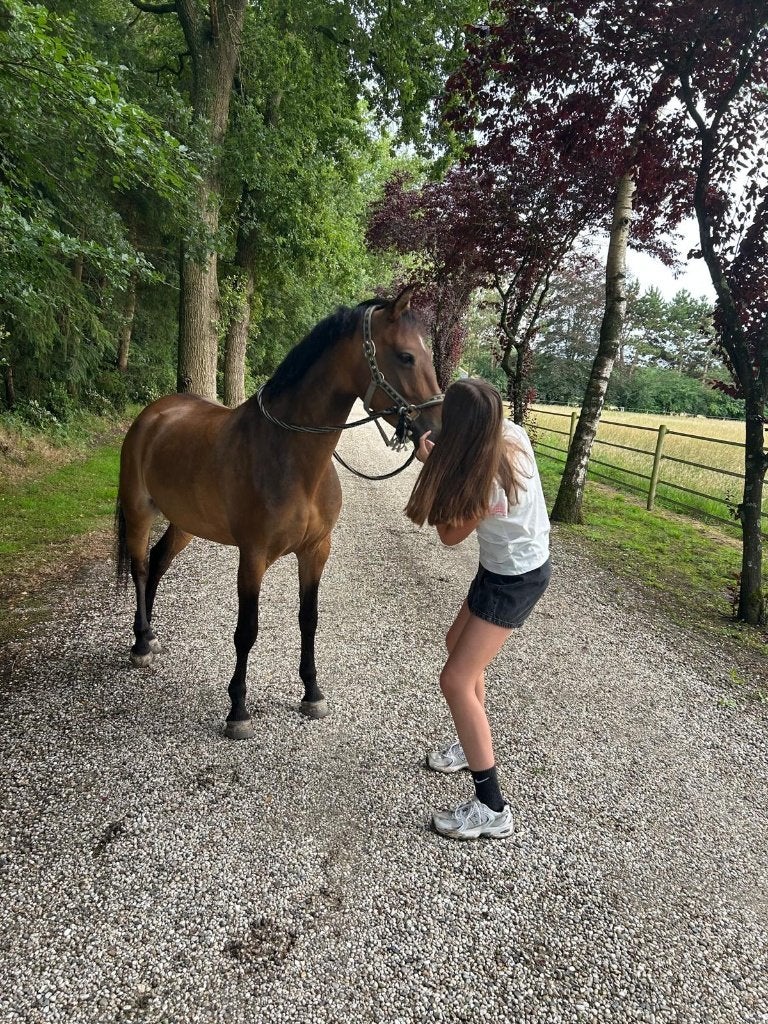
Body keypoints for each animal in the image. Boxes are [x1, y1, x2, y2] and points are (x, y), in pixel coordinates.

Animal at [115, 287, 443, 739]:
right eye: (406, 356)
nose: (437, 431)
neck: (290, 455)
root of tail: (153, 414)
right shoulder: (253, 556)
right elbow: (247, 631)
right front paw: (238, 710)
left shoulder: (316, 551)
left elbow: (309, 619)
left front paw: (312, 692)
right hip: (139, 510)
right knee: (141, 567)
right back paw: (140, 644)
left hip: (184, 523)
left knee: (159, 563)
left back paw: (149, 636)